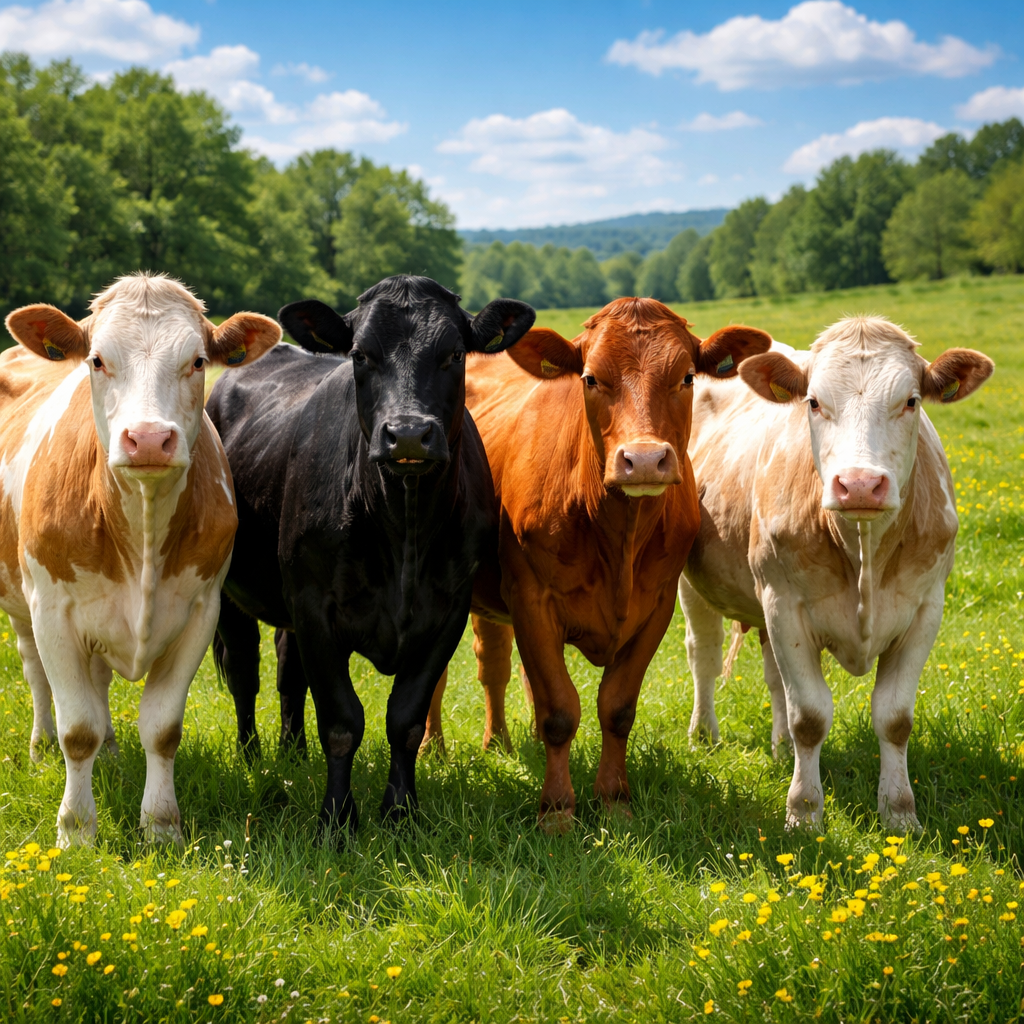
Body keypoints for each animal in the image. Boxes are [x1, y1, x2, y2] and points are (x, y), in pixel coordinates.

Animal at [0, 274, 280, 846]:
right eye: (97, 360)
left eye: (198, 361)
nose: (149, 438)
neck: (141, 530)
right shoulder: (52, 611)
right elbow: (76, 729)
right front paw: (76, 831)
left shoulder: (201, 611)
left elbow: (162, 729)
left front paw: (161, 826)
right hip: (22, 606)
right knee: (36, 676)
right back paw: (41, 749)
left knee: (99, 683)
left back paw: (110, 752)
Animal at [205, 275, 534, 838]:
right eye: (360, 354)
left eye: (454, 354)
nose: (408, 434)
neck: (403, 529)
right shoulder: (315, 607)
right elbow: (341, 720)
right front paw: (337, 821)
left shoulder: (447, 611)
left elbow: (405, 720)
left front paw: (401, 814)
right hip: (229, 590)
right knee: (244, 673)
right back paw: (255, 760)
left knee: (288, 675)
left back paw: (293, 755)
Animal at [422, 298, 772, 829]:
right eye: (590, 378)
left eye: (687, 377)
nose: (644, 460)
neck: (618, 536)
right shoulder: (532, 599)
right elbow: (559, 710)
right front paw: (556, 811)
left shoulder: (656, 606)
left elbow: (617, 708)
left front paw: (614, 802)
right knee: (440, 671)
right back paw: (432, 749)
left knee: (494, 664)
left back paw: (500, 742)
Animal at [677, 316, 993, 829]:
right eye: (813, 402)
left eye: (911, 400)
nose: (860, 484)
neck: (863, 548)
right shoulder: (785, 606)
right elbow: (809, 716)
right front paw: (803, 814)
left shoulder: (925, 608)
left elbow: (894, 718)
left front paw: (900, 813)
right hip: (694, 583)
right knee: (703, 654)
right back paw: (704, 736)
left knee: (773, 677)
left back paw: (780, 748)